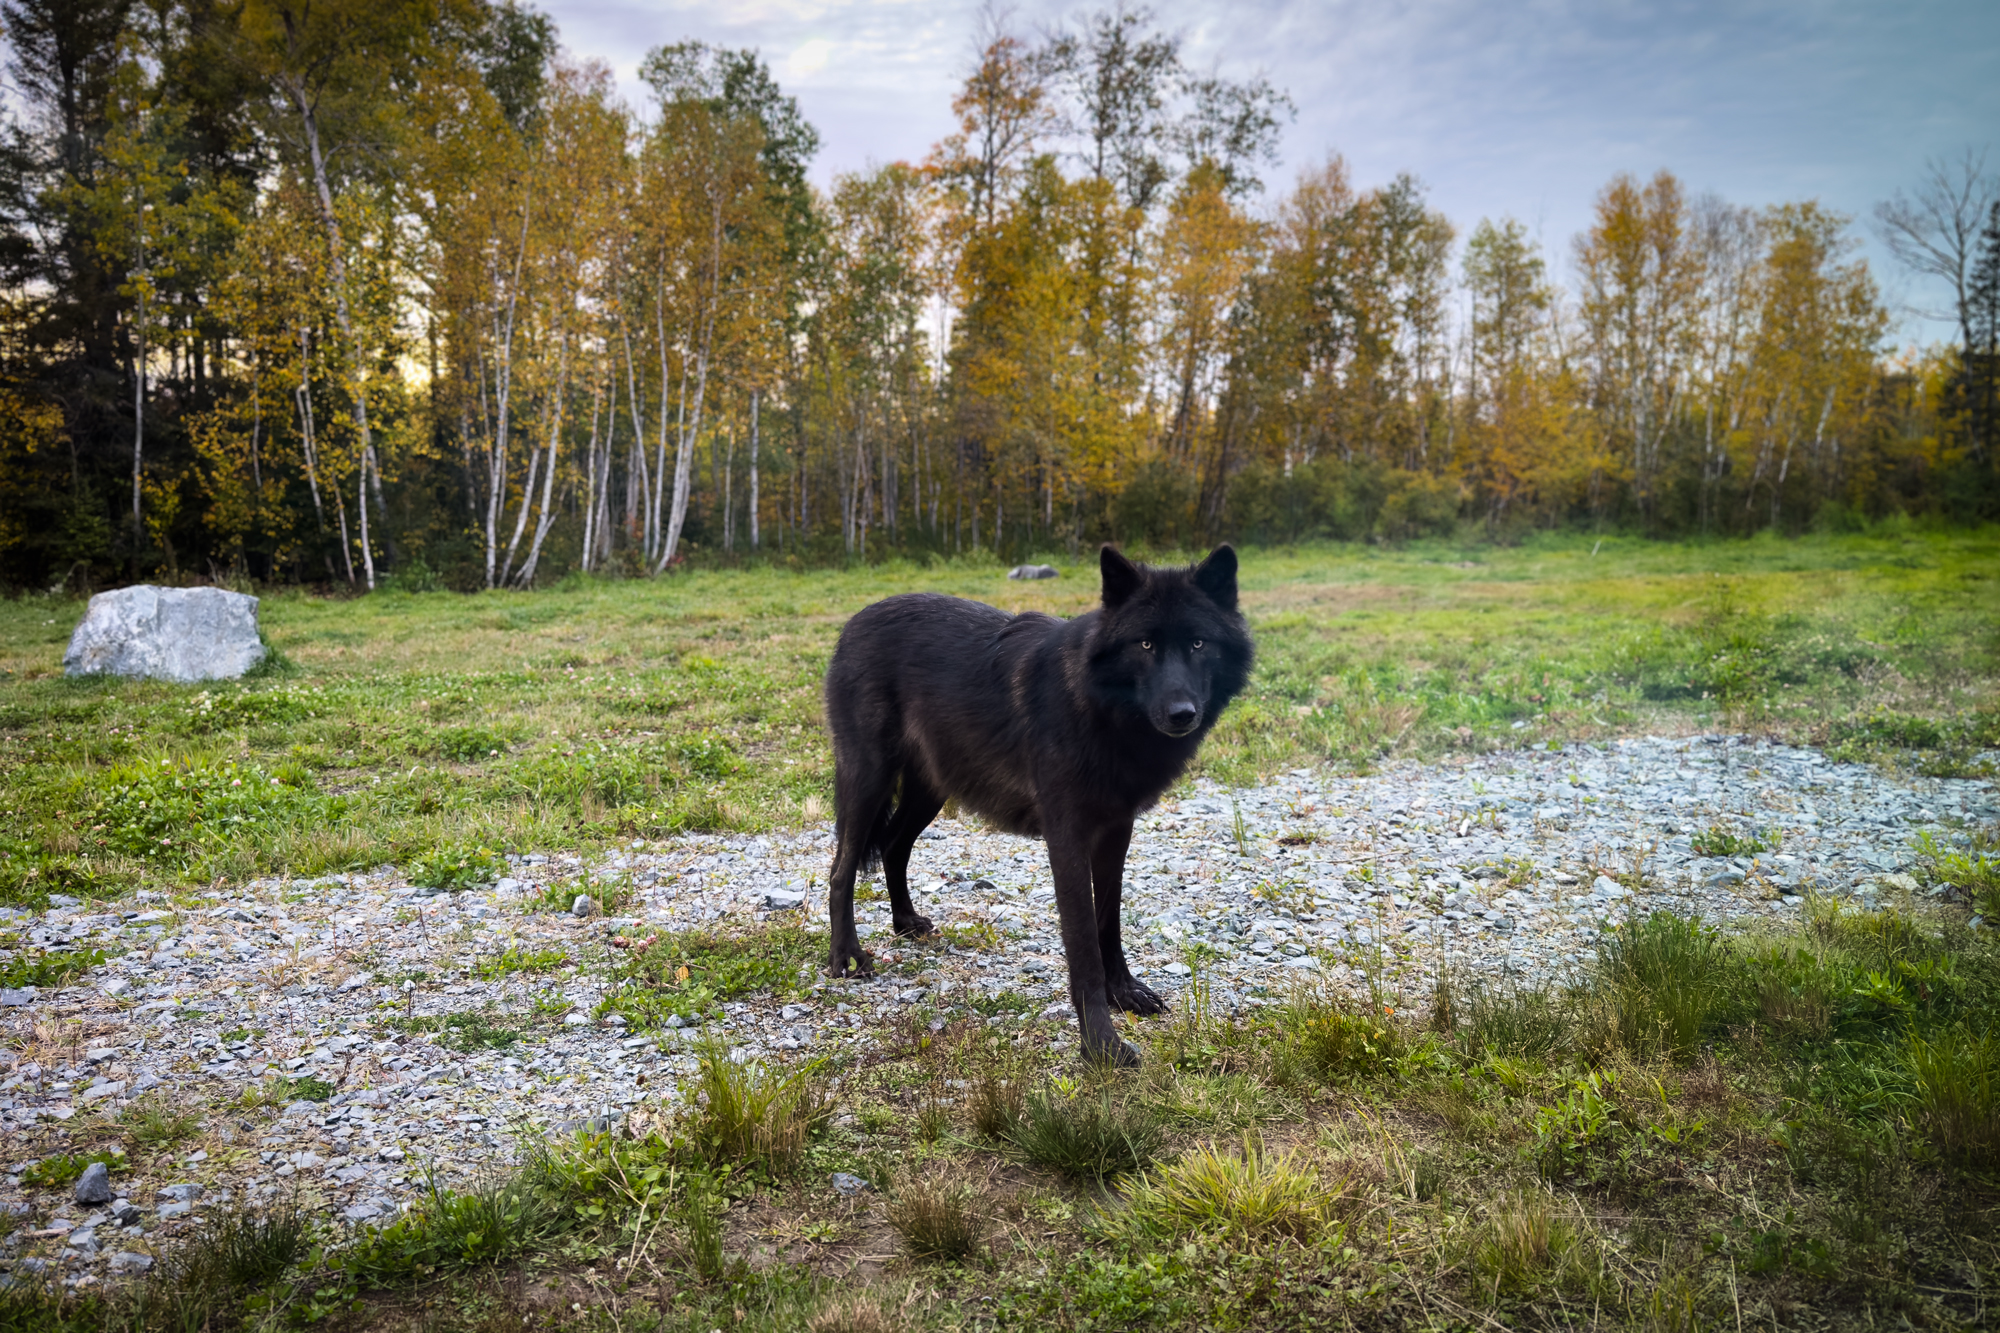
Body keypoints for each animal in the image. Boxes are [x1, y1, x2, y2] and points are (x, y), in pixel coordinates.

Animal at [821, 544, 1253, 1065]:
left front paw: (1124, 993)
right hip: (869, 782)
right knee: (841, 870)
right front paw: (1101, 1045)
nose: (1181, 715)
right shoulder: (1065, 837)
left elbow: (1109, 920)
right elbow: (1083, 942)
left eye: (1198, 644)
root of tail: (854, 621)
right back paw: (847, 957)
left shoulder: (1117, 830)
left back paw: (905, 924)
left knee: (892, 847)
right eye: (1146, 645)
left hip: (930, 792)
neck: (1103, 711)